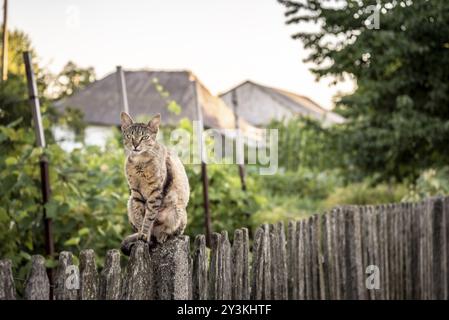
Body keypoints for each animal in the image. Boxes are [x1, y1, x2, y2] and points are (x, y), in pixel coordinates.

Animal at [118, 112, 188, 255]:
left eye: (144, 137)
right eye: (130, 136)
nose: (135, 145)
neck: (140, 162)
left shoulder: (155, 192)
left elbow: (149, 217)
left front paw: (144, 234)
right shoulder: (136, 194)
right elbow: (141, 216)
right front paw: (142, 235)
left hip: (177, 209)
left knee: (174, 233)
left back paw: (162, 235)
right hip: (130, 202)